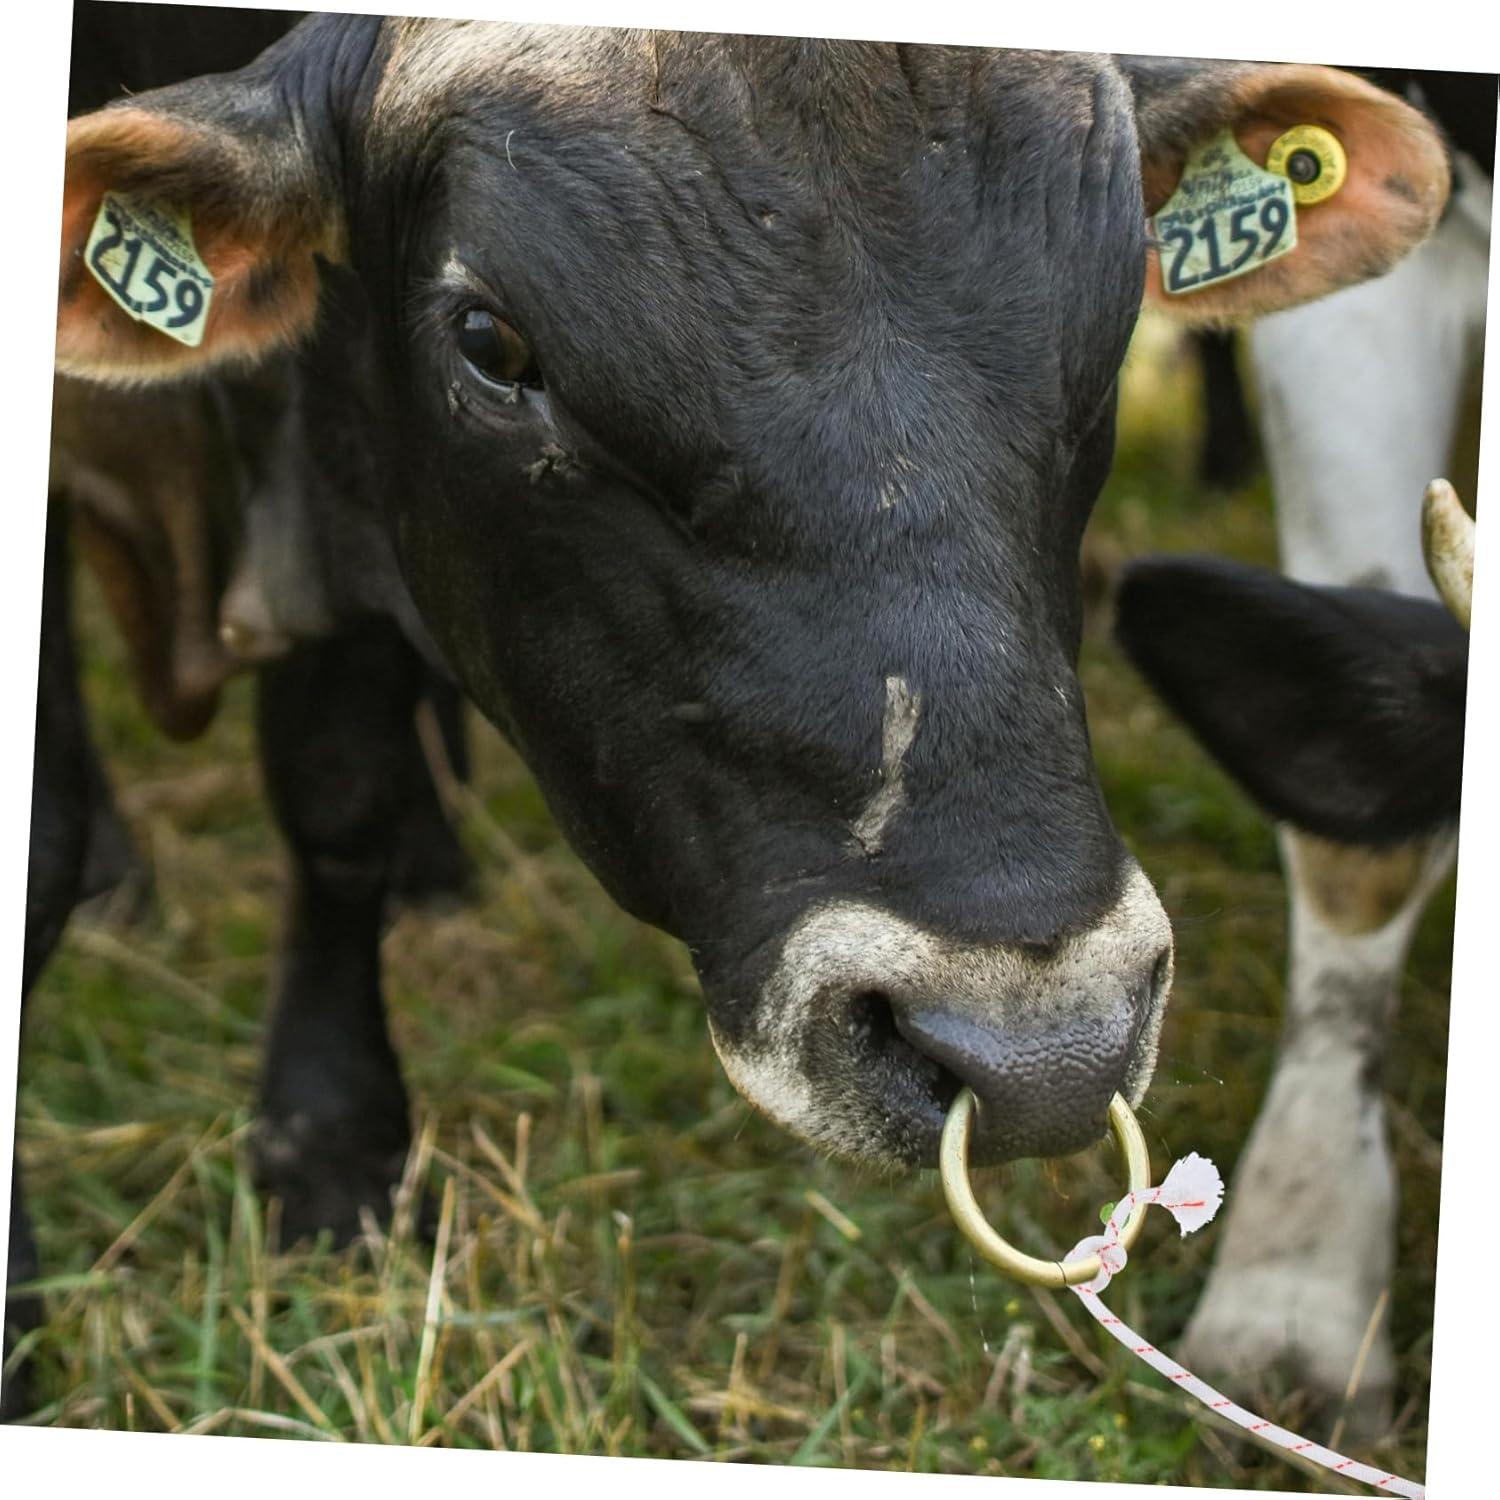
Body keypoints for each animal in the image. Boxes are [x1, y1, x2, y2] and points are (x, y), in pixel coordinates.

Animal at [6, 11, 1455, 1422]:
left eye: (1103, 340)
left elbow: (340, 788)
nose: (1042, 1053)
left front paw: (333, 1151)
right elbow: (49, 837)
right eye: (490, 344)